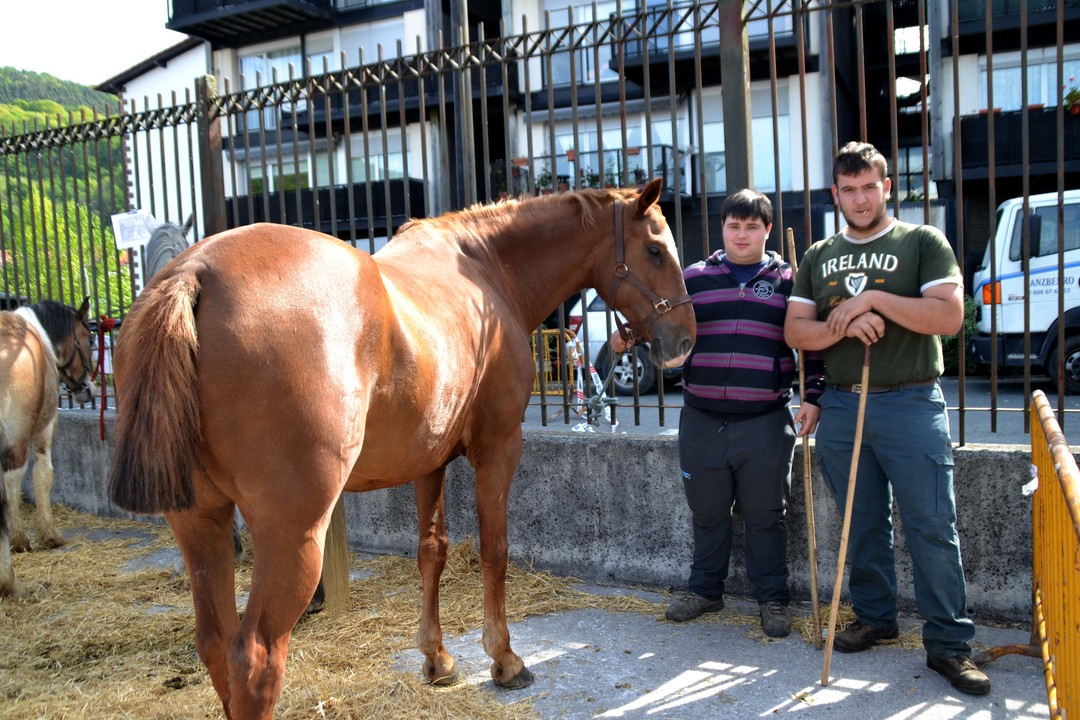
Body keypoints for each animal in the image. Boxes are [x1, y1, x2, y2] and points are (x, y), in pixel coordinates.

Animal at [1, 298, 95, 598]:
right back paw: (9, 579)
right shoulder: (42, 429)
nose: (88, 389)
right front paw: (46, 536)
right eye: (90, 339)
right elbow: (42, 476)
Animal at [108, 178, 695, 719]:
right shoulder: (499, 451)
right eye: (655, 249)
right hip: (293, 534)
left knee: (215, 643)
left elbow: (431, 552)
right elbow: (494, 550)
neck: (486, 272)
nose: (686, 338)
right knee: (254, 659)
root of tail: (194, 272)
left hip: (199, 521)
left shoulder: (427, 462)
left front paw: (437, 659)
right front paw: (504, 659)